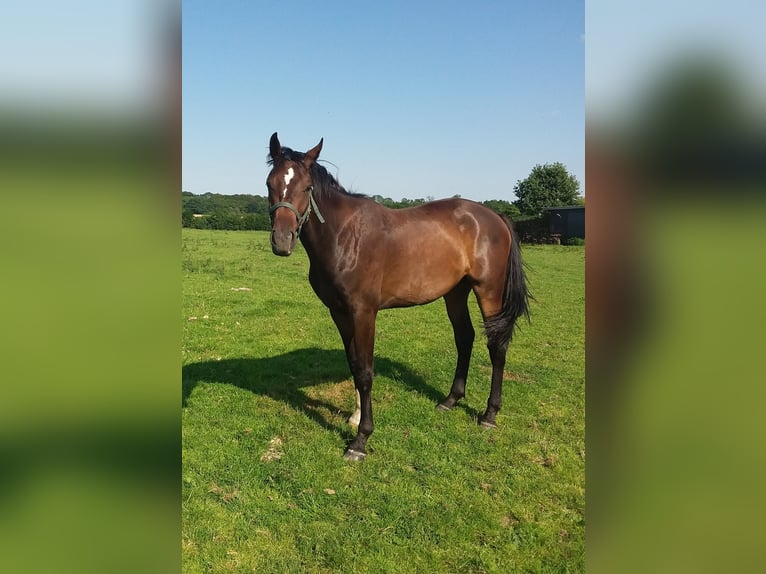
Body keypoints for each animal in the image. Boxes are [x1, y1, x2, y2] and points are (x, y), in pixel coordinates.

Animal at [268, 133, 532, 462]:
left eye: (306, 187)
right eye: (270, 184)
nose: (282, 240)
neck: (344, 236)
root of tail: (493, 216)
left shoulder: (364, 312)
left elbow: (365, 371)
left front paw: (360, 440)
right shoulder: (339, 312)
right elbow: (354, 364)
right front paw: (355, 417)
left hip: (489, 290)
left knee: (496, 344)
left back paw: (489, 414)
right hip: (455, 293)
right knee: (465, 338)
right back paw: (450, 400)